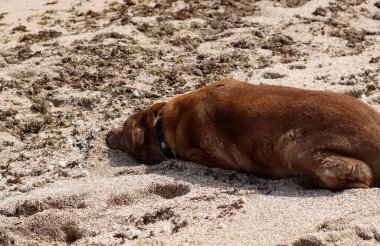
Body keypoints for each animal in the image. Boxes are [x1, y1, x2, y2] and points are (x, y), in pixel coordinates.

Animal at [105, 78, 380, 189]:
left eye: (125, 130)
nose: (107, 134)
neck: (163, 123)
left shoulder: (200, 154)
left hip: (300, 152)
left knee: (362, 177)